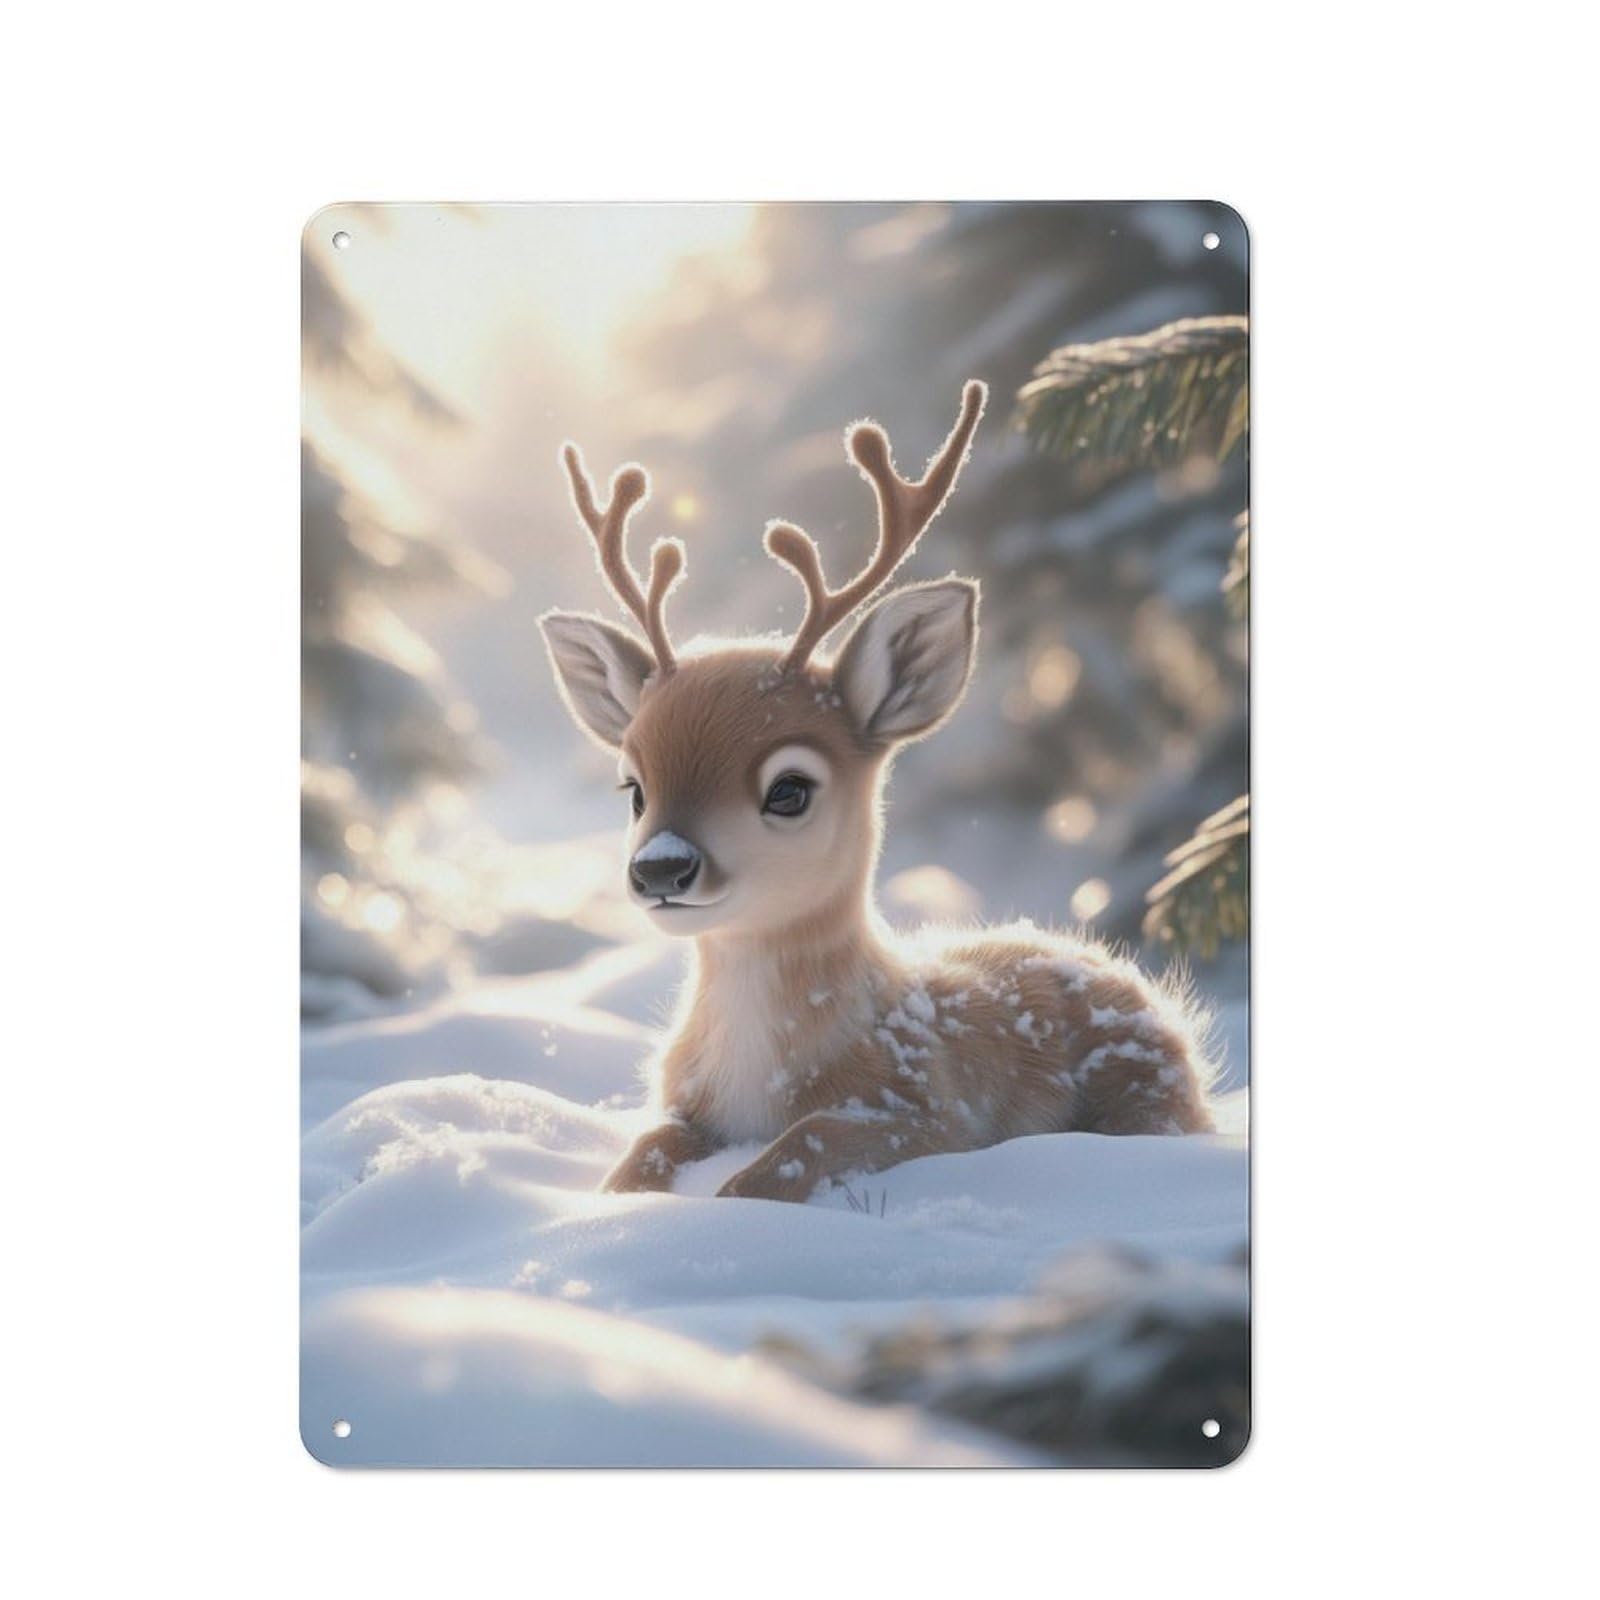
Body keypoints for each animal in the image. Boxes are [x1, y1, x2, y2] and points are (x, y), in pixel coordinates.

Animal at [539, 380, 1217, 1204]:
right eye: (633, 788)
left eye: (789, 789)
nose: (660, 867)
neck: (760, 1073)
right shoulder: (682, 1105)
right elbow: (635, 1164)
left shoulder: (920, 1108)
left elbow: (778, 1165)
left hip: (1146, 1090)